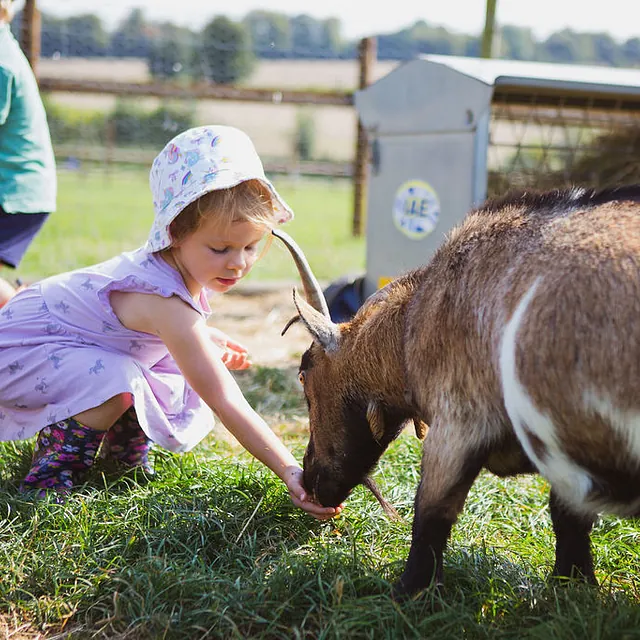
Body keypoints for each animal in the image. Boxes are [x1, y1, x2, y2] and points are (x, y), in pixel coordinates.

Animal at [276, 188, 640, 596]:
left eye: (303, 374)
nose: (309, 479)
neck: (414, 322)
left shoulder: (457, 421)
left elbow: (430, 517)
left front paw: (404, 595)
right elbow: (568, 517)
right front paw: (571, 585)